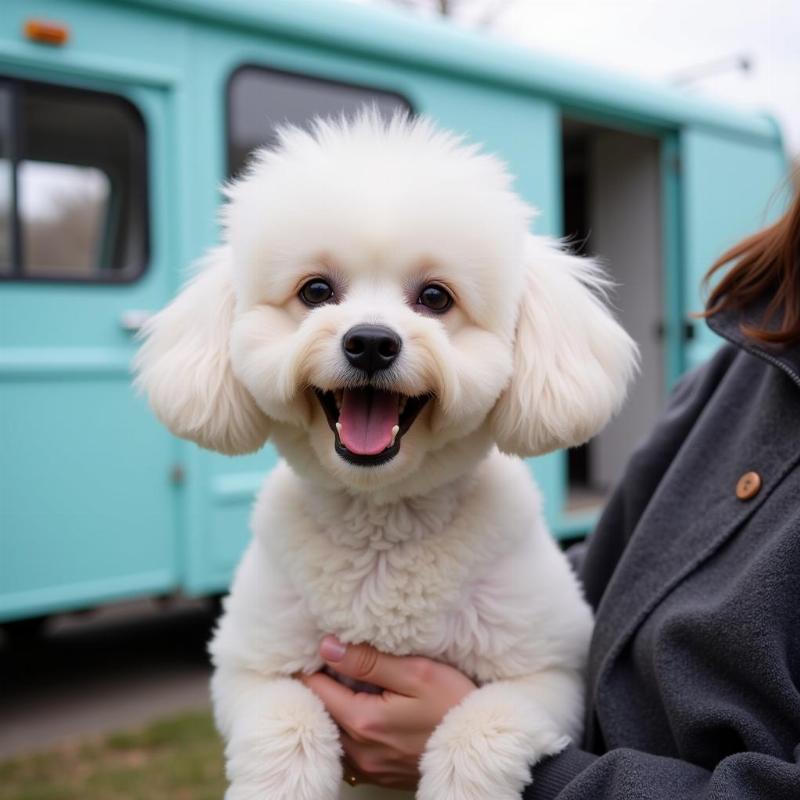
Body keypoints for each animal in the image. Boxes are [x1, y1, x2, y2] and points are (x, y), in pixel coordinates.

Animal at [136, 112, 636, 800]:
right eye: (316, 290)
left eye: (436, 297)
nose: (371, 342)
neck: (380, 530)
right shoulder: (249, 667)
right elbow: (284, 725)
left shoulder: (549, 674)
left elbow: (479, 726)